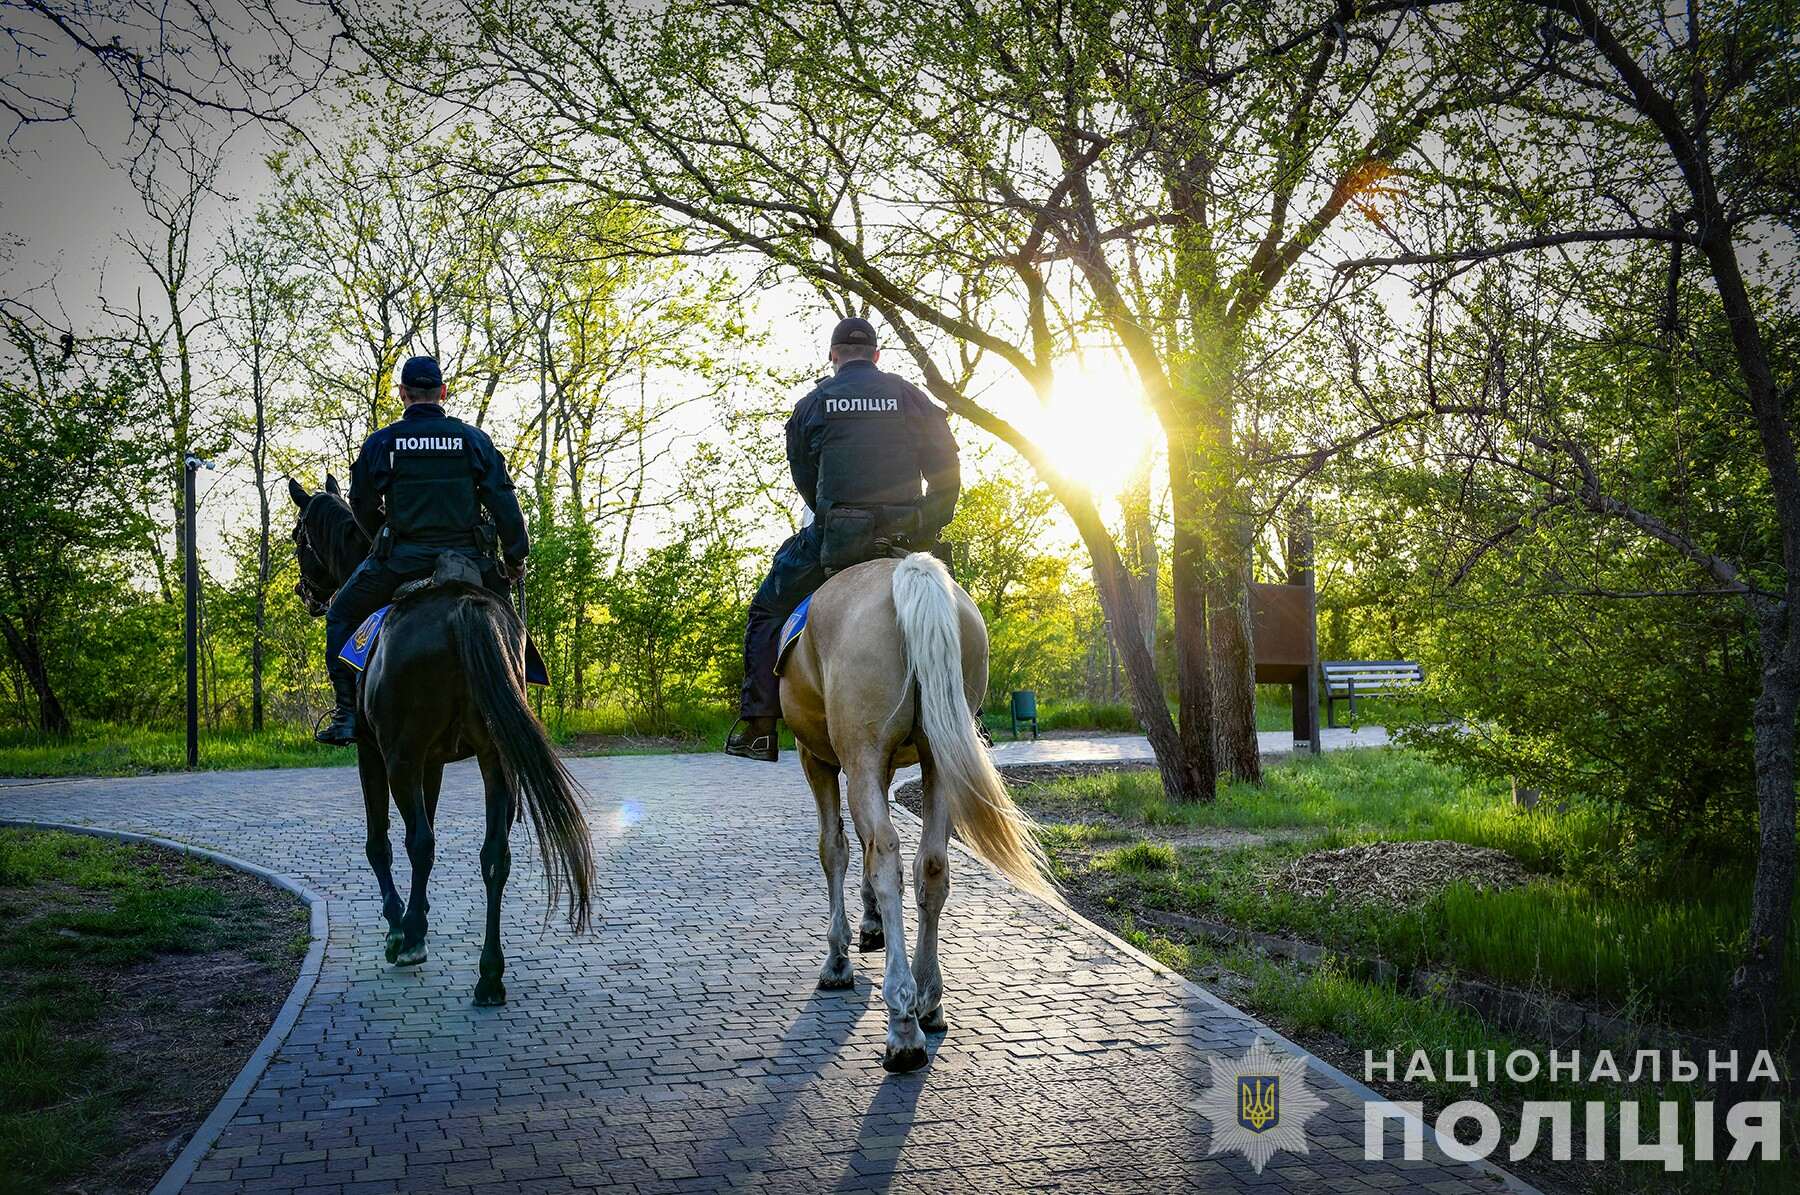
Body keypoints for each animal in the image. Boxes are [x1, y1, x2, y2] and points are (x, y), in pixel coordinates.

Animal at [282, 471, 590, 1000]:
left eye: (300, 537)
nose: (307, 592)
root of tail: (465, 606)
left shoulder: (377, 755)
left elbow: (382, 842)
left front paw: (401, 925)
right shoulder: (433, 762)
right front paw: (419, 918)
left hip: (401, 759)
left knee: (418, 841)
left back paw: (408, 940)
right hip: (494, 761)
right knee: (494, 855)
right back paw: (489, 974)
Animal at [781, 550, 1051, 1072]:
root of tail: (909, 570)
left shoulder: (817, 758)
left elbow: (836, 849)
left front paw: (839, 957)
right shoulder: (883, 768)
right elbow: (861, 845)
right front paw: (871, 925)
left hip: (860, 756)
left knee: (886, 856)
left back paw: (902, 1021)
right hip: (938, 759)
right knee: (931, 865)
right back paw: (928, 1000)